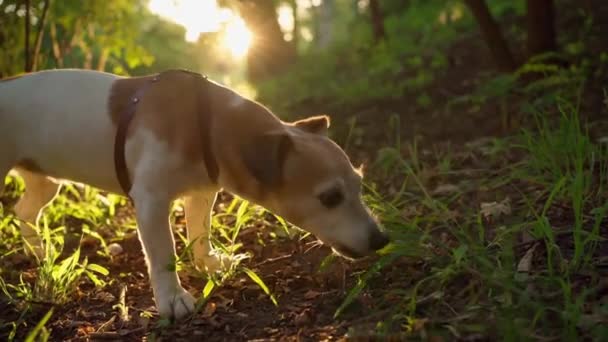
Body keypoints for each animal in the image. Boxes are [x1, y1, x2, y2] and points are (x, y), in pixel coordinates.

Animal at [0, 68, 390, 320]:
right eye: (330, 197)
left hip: (45, 182)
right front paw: (172, 298)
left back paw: (39, 251)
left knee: (24, 212)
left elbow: (200, 234)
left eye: (359, 186)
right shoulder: (151, 200)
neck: (206, 121)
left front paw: (210, 263)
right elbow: (164, 255)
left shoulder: (201, 193)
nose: (381, 239)